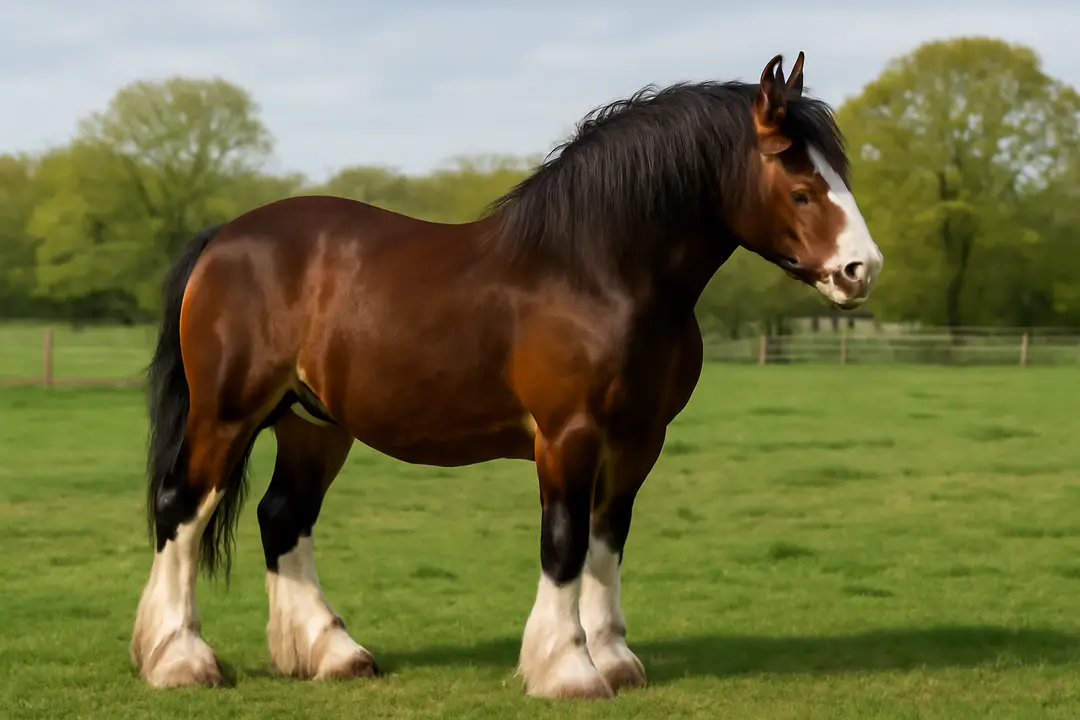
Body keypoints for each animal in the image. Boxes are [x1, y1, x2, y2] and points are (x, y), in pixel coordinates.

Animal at [130, 51, 883, 699]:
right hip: (228, 415)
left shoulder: (639, 440)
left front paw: (614, 659)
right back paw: (181, 660)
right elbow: (566, 541)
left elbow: (608, 539)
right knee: (181, 510)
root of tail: (223, 238)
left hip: (312, 424)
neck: (595, 270)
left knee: (284, 517)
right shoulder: (567, 435)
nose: (861, 270)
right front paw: (569, 669)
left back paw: (332, 654)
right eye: (802, 188)